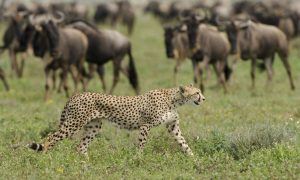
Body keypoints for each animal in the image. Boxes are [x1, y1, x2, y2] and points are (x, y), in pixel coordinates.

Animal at [28, 84, 205, 156]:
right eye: (196, 92)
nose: (204, 98)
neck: (174, 99)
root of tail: (77, 94)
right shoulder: (145, 125)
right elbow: (141, 145)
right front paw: (138, 159)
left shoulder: (172, 126)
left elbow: (184, 143)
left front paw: (194, 158)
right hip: (74, 123)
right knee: (51, 137)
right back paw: (46, 158)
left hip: (94, 127)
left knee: (81, 146)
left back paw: (88, 165)